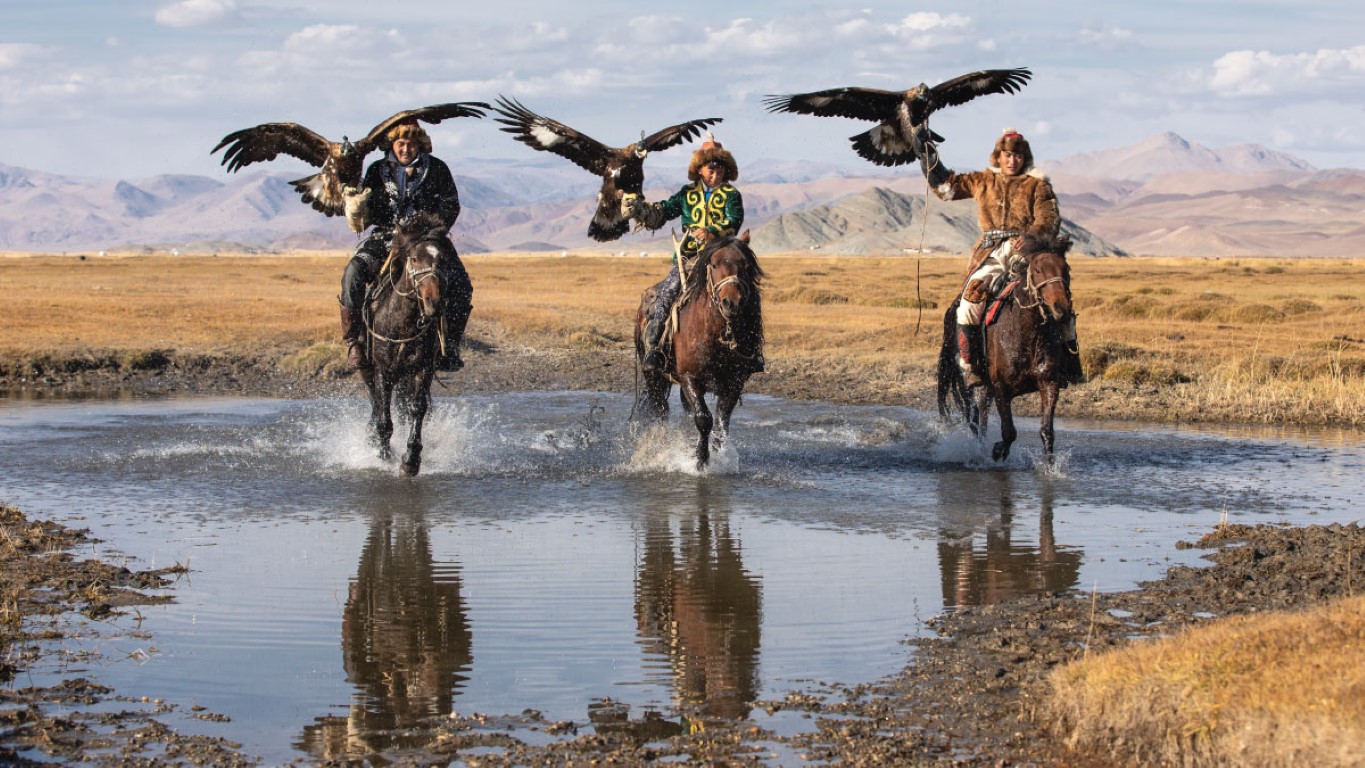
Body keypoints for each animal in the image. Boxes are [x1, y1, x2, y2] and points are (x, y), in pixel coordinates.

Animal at [360, 215, 472, 474]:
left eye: (443, 259)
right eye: (413, 258)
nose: (434, 302)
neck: (404, 322)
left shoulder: (423, 369)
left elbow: (417, 408)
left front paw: (411, 459)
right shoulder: (384, 369)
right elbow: (384, 413)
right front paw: (384, 454)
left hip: (406, 375)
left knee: (402, 407)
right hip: (369, 365)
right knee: (375, 399)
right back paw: (372, 435)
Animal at [630, 231, 764, 469]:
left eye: (747, 266)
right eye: (714, 264)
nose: (731, 303)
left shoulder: (735, 382)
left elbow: (721, 423)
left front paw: (719, 457)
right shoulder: (689, 377)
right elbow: (704, 418)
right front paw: (701, 460)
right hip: (653, 374)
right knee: (660, 410)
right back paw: (659, 449)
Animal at [939, 234, 1075, 463]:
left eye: (1066, 269)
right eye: (1037, 270)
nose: (1061, 309)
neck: (1029, 336)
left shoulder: (1049, 383)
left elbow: (1047, 431)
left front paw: (1050, 466)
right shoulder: (1000, 386)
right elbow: (1008, 431)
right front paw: (997, 451)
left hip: (986, 389)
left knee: (982, 419)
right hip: (969, 383)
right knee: (975, 421)